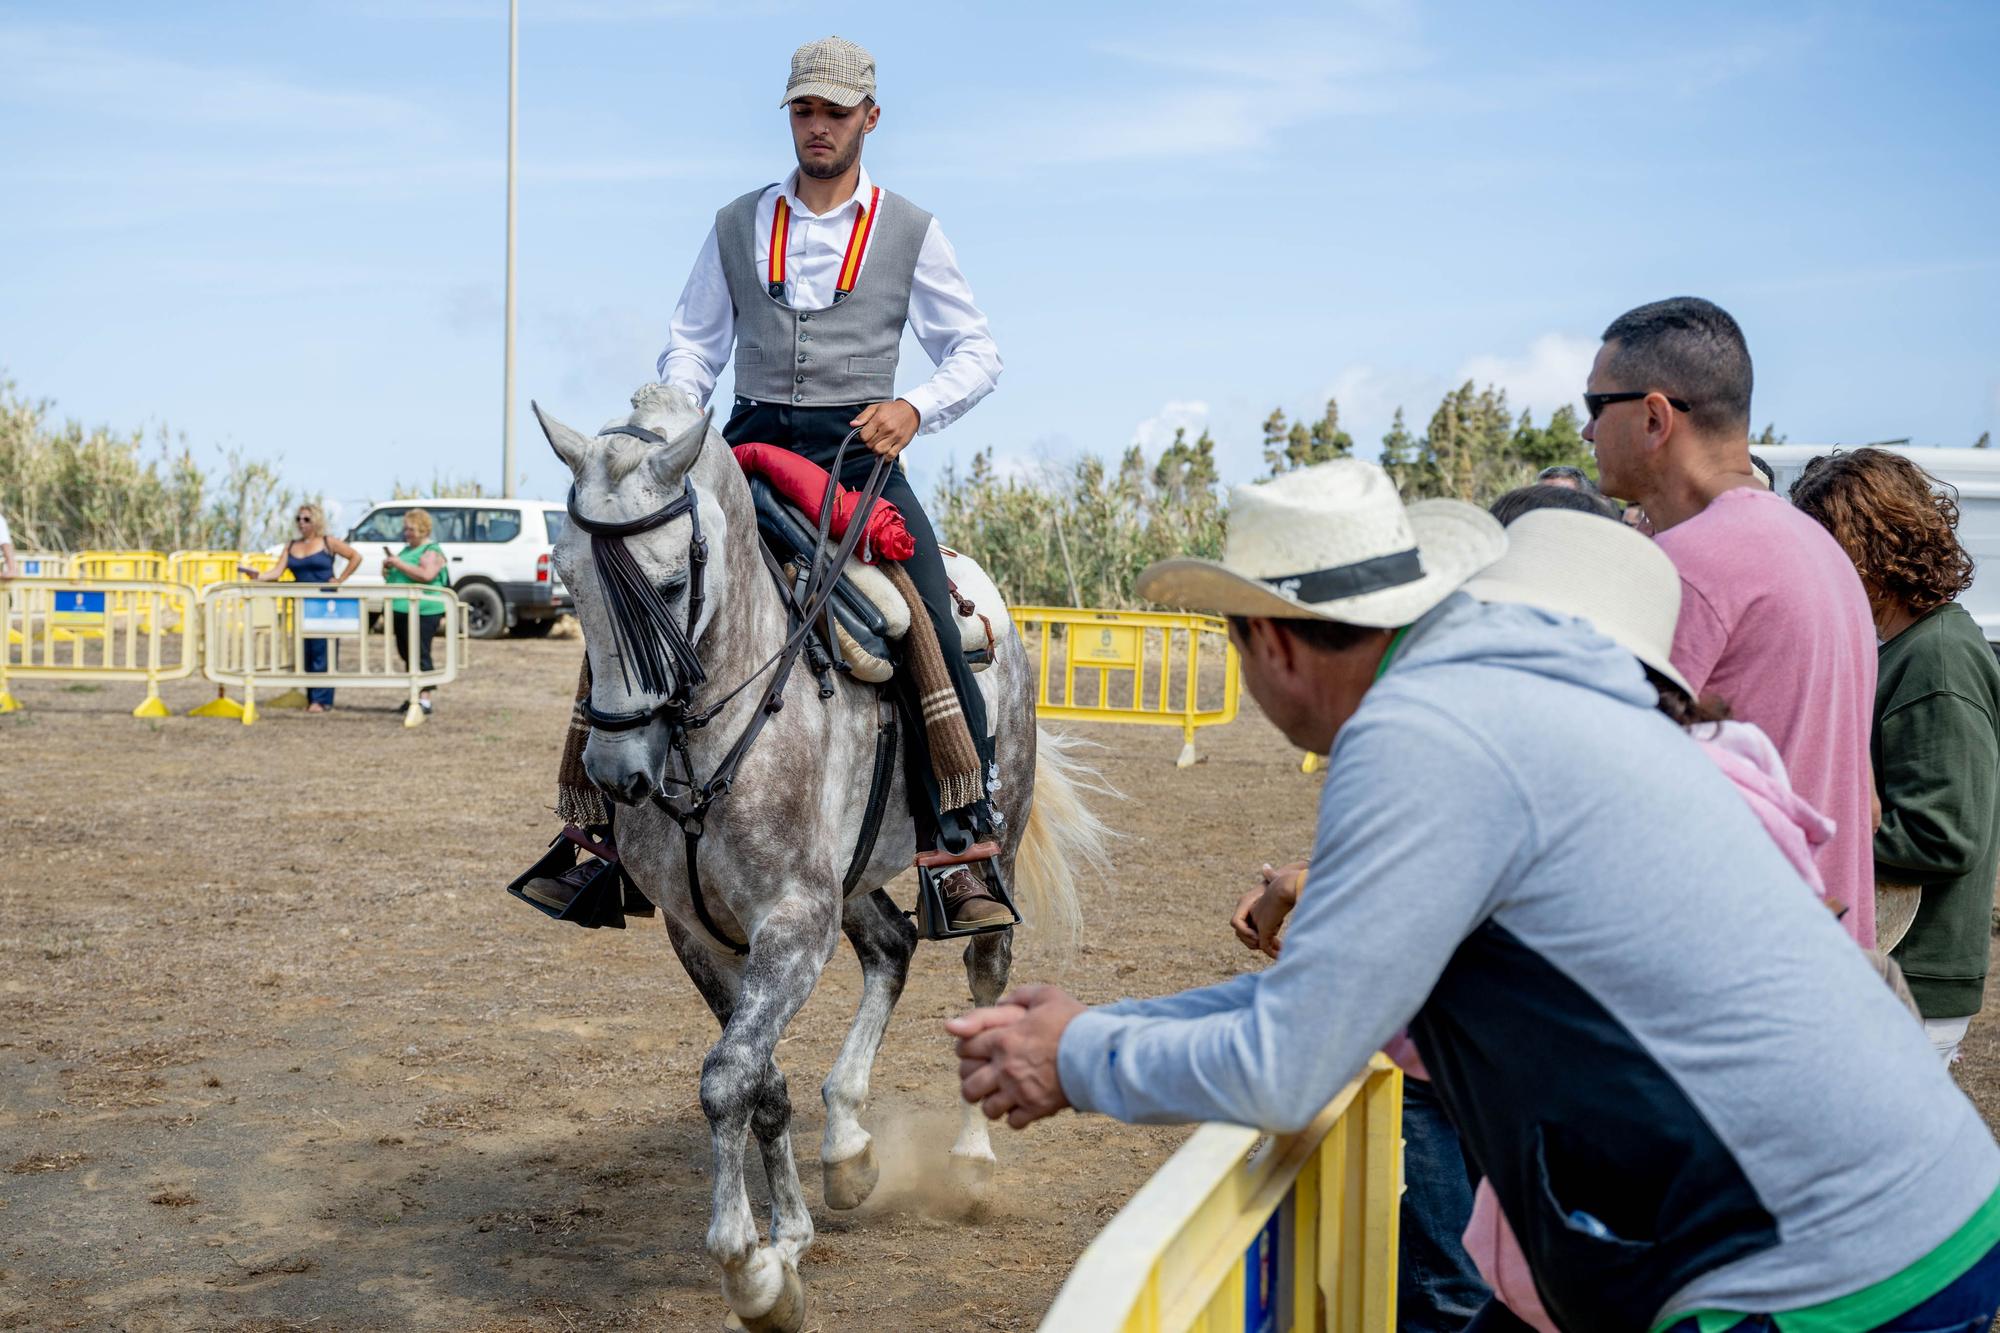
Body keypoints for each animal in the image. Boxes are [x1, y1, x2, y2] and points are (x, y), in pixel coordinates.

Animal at [536, 384, 1112, 1328]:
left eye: (669, 582)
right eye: (572, 581)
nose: (618, 773)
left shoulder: (794, 923)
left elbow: (728, 1076)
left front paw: (751, 1268)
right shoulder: (703, 930)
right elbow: (761, 1081)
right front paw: (790, 1240)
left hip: (994, 836)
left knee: (985, 970)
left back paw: (971, 1163)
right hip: (850, 879)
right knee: (892, 946)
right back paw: (847, 1143)